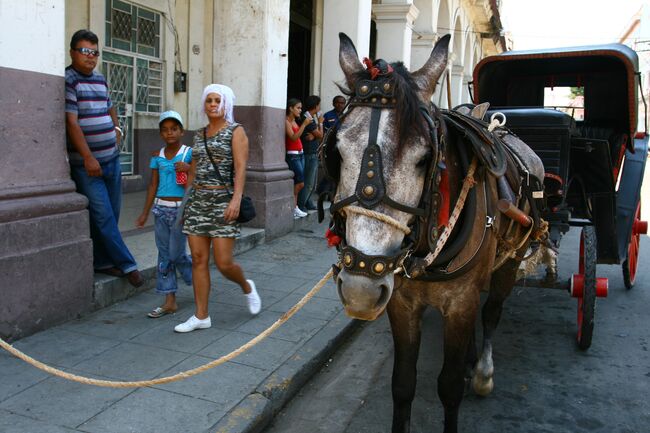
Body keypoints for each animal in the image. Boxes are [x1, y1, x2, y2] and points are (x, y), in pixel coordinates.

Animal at [322, 33, 544, 432]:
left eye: (424, 158)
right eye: (337, 152)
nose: (361, 291)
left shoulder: (461, 302)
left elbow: (450, 386)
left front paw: (466, 378)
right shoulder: (401, 302)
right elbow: (402, 384)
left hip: (511, 259)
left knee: (492, 311)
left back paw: (482, 371)